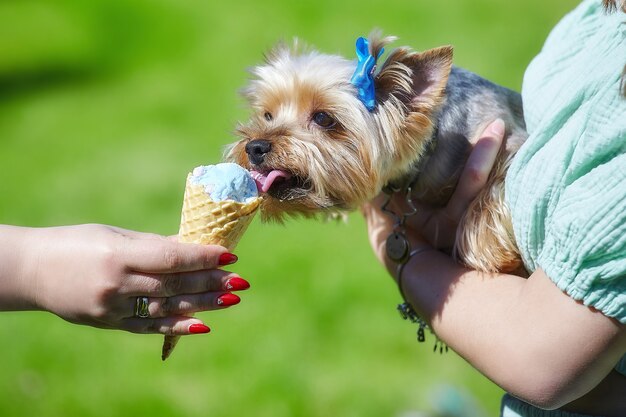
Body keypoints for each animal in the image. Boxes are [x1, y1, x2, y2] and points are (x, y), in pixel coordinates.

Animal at [227, 33, 524, 272]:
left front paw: (487, 249)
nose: (254, 147)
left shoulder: (510, 135)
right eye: (267, 115)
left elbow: (501, 181)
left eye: (323, 118)